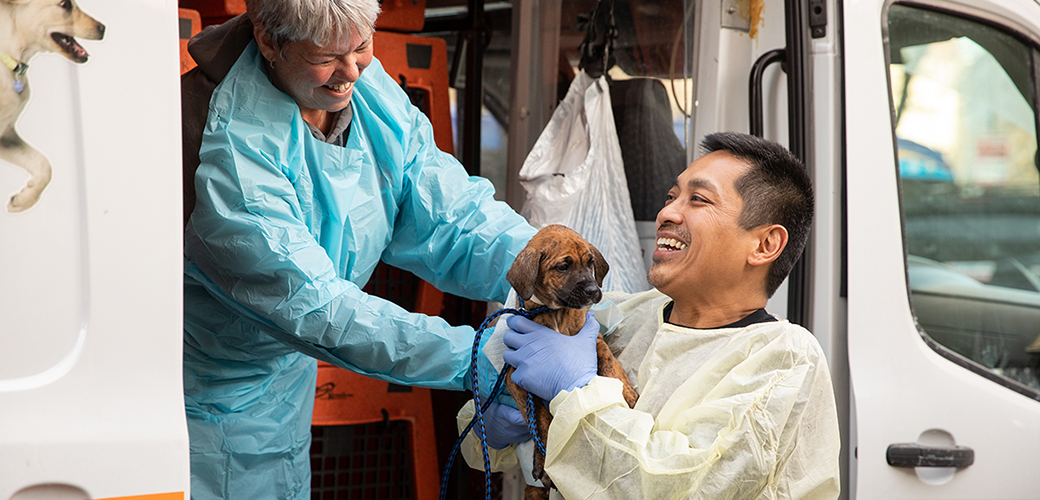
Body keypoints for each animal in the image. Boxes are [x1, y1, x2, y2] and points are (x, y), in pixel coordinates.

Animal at [501, 224, 636, 496]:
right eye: (563, 266)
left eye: (590, 263)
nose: (594, 291)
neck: (556, 313)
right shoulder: (514, 376)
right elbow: (540, 417)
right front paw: (543, 457)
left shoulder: (593, 337)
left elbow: (609, 361)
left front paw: (626, 392)